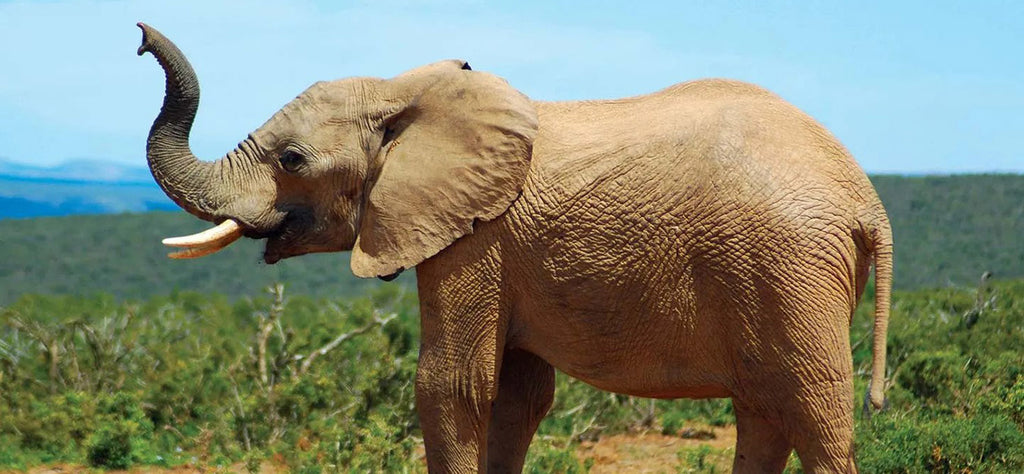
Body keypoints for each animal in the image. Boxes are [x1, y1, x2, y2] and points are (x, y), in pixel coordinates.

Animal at [135, 23, 893, 473]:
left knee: (811, 408)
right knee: (764, 410)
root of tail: (866, 200)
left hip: (786, 267)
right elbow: (516, 395)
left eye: (291, 159)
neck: (407, 90)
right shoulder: (502, 248)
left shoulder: (477, 237)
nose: (140, 39)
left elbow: (452, 386)